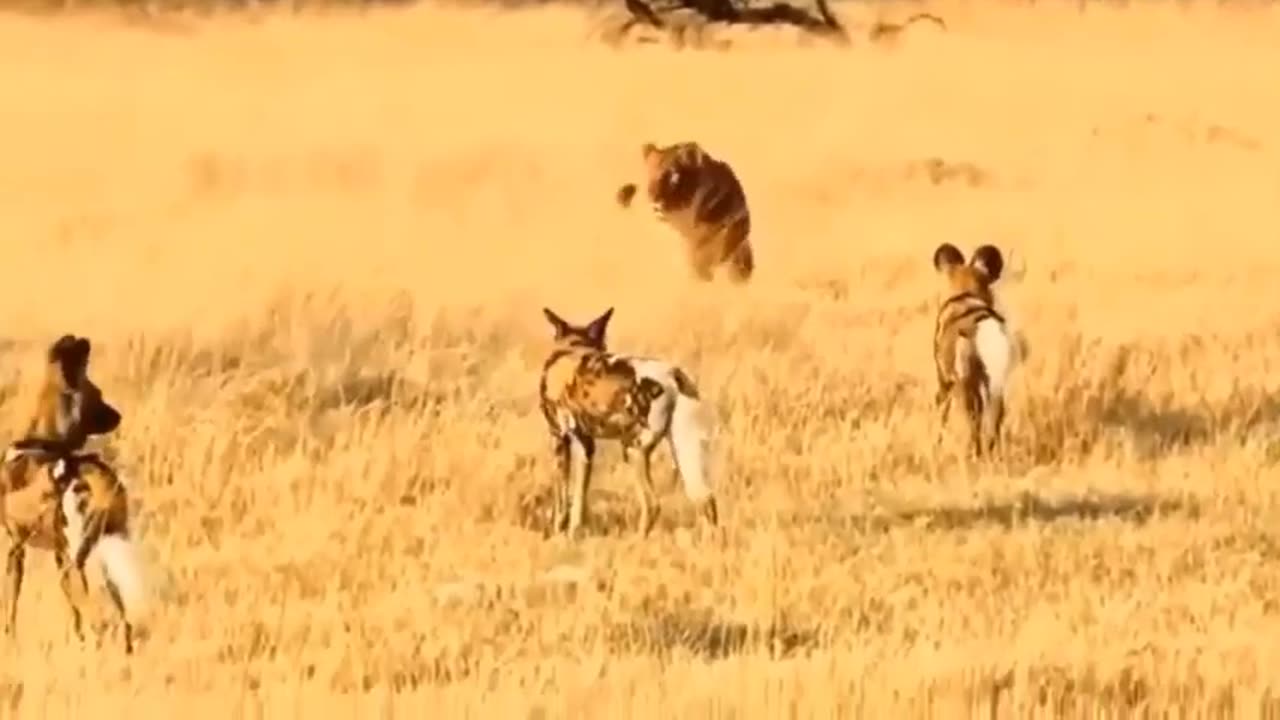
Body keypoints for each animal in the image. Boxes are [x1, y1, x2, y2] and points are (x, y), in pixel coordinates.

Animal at [1, 333, 145, 653]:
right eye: (99, 395)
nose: (119, 416)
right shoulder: (57, 553)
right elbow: (73, 614)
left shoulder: (16, 548)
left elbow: (10, 608)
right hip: (103, 552)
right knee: (122, 618)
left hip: (81, 560)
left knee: (98, 616)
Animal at [537, 304, 721, 535]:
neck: (574, 346)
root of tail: (672, 374)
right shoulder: (587, 446)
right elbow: (579, 500)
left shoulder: (561, 440)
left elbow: (564, 503)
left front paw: (561, 533)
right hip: (683, 450)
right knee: (706, 499)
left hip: (633, 449)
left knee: (652, 504)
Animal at [931, 240, 1018, 453]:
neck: (966, 294)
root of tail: (983, 322)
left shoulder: (945, 381)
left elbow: (941, 418)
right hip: (995, 388)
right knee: (993, 424)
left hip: (967, 387)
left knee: (974, 427)